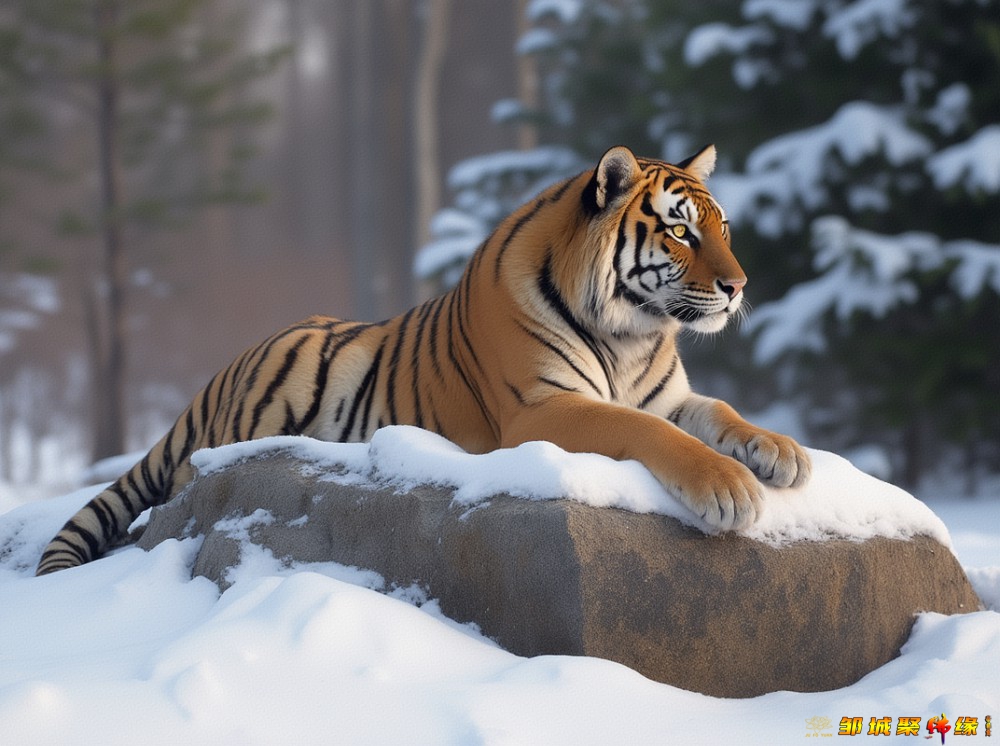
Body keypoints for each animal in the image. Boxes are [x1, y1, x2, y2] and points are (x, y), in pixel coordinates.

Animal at [36, 144, 811, 576]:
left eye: (722, 227)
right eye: (680, 232)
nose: (740, 286)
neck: (633, 333)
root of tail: (211, 382)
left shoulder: (669, 396)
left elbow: (719, 411)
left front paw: (782, 453)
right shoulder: (540, 410)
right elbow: (649, 433)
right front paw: (731, 488)